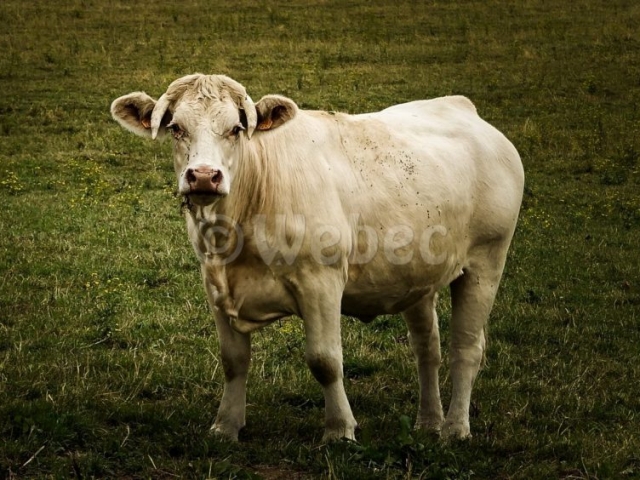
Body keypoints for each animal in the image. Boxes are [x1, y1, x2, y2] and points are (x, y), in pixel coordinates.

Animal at [112, 74, 524, 442]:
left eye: (236, 129)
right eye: (176, 128)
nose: (202, 176)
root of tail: (460, 106)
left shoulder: (321, 283)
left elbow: (325, 361)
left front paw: (339, 429)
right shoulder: (215, 285)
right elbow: (233, 361)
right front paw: (226, 426)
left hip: (486, 262)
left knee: (466, 348)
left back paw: (455, 429)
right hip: (418, 277)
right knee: (428, 349)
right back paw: (428, 422)